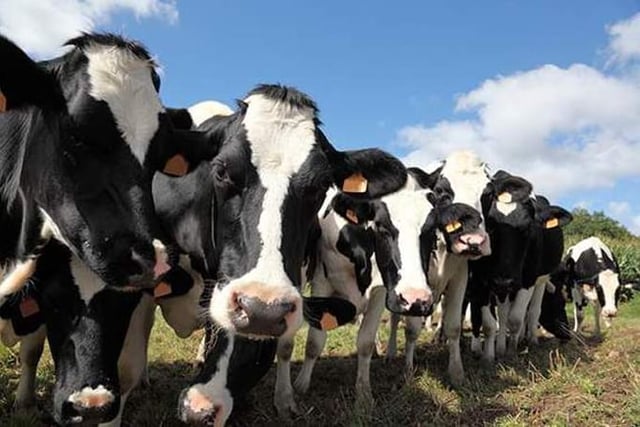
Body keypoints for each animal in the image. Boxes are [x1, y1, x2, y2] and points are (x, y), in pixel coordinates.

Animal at [291, 168, 489, 404]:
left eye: (431, 229)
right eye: (381, 226)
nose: (415, 298)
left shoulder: (381, 291)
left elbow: (365, 342)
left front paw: (364, 394)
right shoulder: (322, 282)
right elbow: (314, 341)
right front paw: (300, 385)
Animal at [386, 150, 492, 385]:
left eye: (488, 193)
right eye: (442, 191)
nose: (473, 241)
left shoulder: (460, 277)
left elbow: (453, 325)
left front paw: (456, 372)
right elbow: (411, 329)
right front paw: (408, 369)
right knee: (396, 318)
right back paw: (390, 352)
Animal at [467, 172, 572, 362]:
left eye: (528, 228)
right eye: (490, 227)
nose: (567, 335)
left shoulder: (528, 279)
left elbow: (516, 318)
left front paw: (511, 351)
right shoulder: (484, 278)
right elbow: (493, 320)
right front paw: (493, 353)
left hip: (541, 279)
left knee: (533, 311)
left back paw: (530, 339)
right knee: (504, 313)